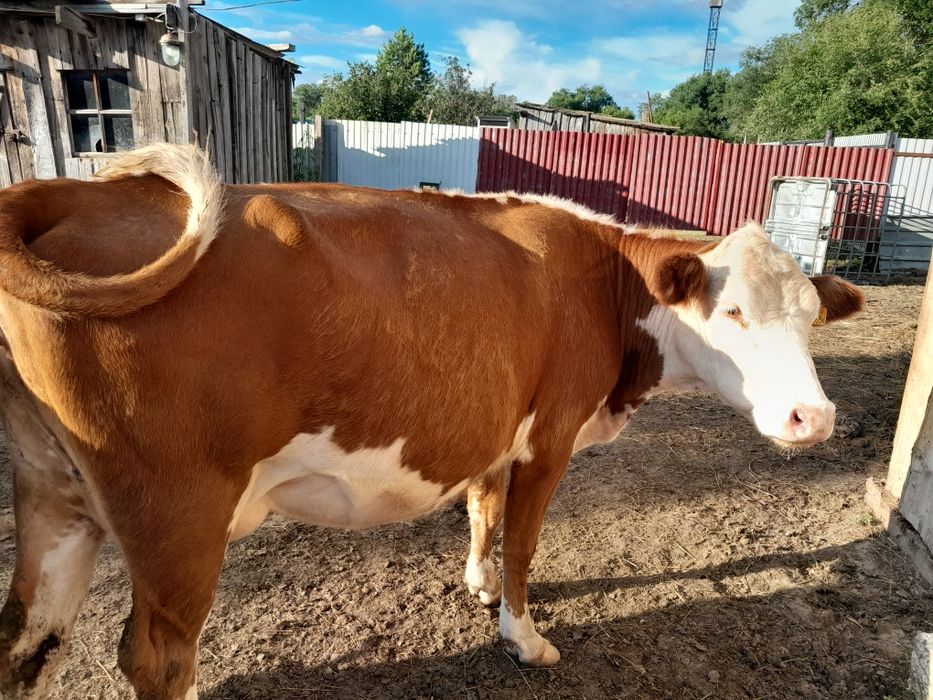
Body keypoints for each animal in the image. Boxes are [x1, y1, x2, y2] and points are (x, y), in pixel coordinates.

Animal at [0, 145, 863, 699]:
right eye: (732, 312)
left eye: (811, 316)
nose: (811, 417)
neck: (606, 282)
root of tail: (73, 191)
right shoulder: (551, 436)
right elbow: (524, 544)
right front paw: (523, 637)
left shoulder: (496, 424)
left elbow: (482, 510)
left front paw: (476, 583)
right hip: (177, 512)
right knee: (157, 660)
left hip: (55, 492)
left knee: (28, 638)